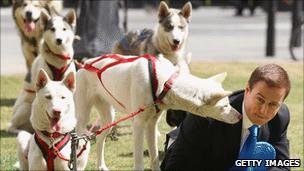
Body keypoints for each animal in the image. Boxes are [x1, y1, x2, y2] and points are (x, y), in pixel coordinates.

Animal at [74, 53, 240, 170]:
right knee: (80, 141)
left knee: (100, 137)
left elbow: (154, 158)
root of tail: (86, 63)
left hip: (109, 117)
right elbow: (139, 162)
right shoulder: (139, 125)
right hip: (83, 116)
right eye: (225, 106)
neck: (165, 83)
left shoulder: (151, 125)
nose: (239, 116)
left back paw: (101, 166)